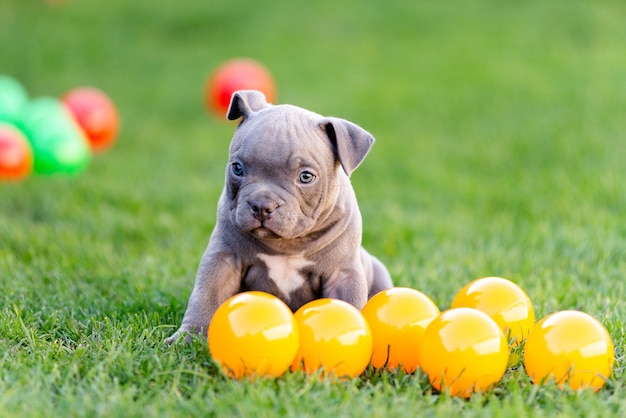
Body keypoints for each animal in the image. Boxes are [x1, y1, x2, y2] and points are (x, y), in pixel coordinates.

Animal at [166, 89, 390, 342]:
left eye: (305, 177)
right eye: (237, 168)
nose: (262, 205)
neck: (287, 244)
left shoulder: (342, 274)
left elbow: (346, 306)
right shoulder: (223, 259)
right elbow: (206, 296)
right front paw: (187, 338)